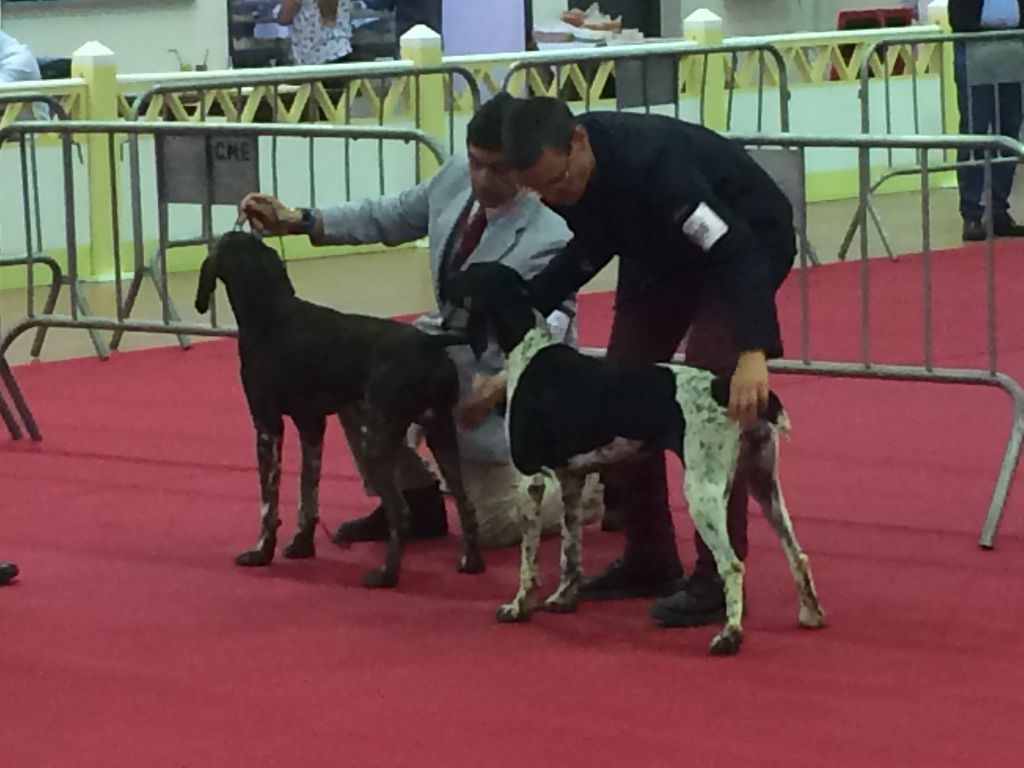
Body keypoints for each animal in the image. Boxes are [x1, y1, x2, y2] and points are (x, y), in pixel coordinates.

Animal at [448, 264, 823, 655]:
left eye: (466, 275)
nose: (446, 282)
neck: (528, 345)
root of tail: (728, 389)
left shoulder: (531, 479)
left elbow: (528, 559)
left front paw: (519, 606)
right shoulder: (570, 481)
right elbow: (570, 550)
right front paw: (563, 598)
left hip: (703, 491)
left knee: (732, 565)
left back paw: (729, 635)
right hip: (763, 483)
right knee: (797, 554)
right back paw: (810, 614)